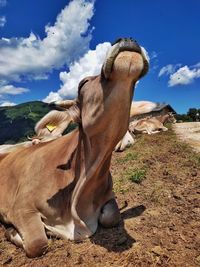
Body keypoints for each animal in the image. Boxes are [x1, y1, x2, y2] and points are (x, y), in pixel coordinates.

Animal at [0, 37, 148, 258]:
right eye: (83, 83)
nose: (128, 39)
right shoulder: (22, 208)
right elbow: (38, 243)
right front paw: (12, 232)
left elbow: (112, 217)